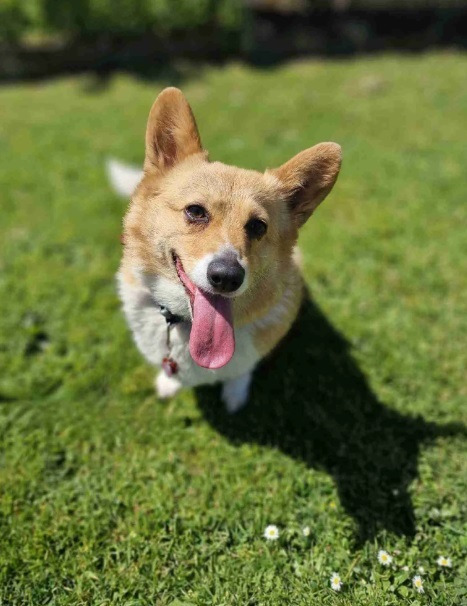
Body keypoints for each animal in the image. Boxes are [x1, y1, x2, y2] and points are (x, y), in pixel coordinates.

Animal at [111, 88, 342, 416]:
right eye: (196, 211)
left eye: (258, 226)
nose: (227, 277)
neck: (188, 326)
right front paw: (169, 383)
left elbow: (240, 372)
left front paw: (235, 395)